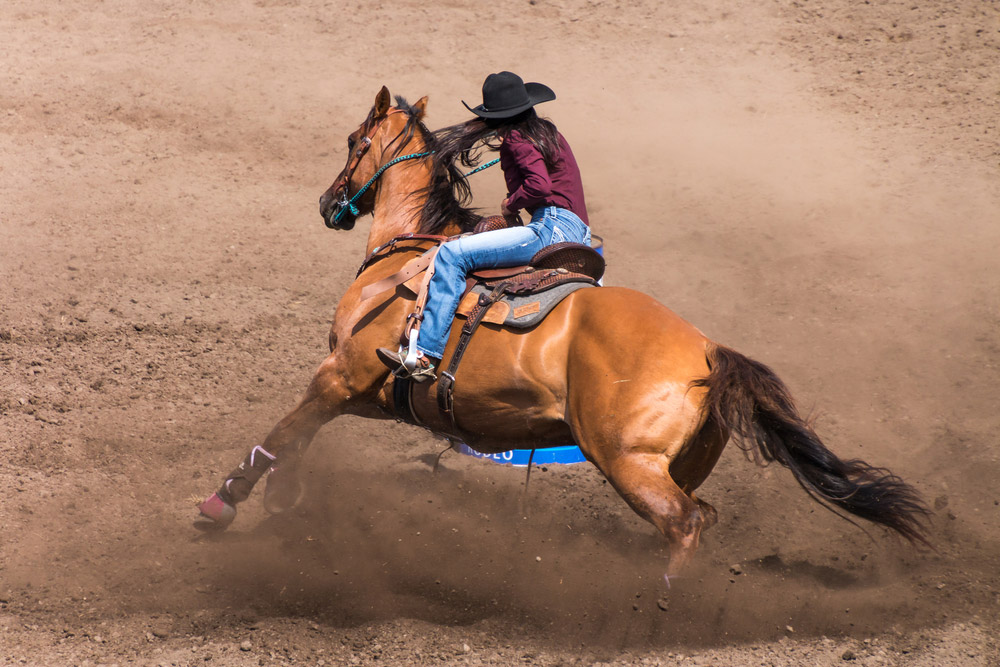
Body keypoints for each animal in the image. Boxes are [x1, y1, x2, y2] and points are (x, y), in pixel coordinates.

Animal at [195, 86, 928, 576]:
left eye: (354, 141)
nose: (328, 206)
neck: (410, 252)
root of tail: (707, 350)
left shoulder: (340, 375)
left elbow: (277, 437)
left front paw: (220, 506)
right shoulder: (360, 395)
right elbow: (296, 443)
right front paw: (282, 500)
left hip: (628, 460)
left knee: (684, 523)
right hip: (678, 462)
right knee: (698, 518)